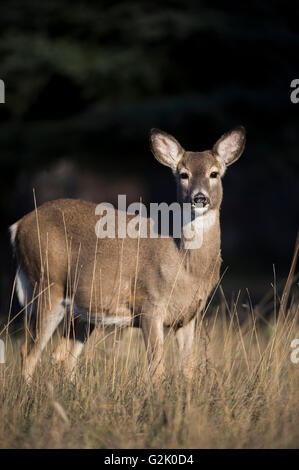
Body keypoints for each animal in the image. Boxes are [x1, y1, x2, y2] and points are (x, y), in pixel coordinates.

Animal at [10, 126, 247, 384]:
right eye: (183, 174)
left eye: (214, 173)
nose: (200, 198)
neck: (185, 267)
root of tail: (18, 226)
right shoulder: (149, 304)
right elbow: (156, 368)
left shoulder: (189, 316)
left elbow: (188, 369)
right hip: (46, 283)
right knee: (29, 350)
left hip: (80, 308)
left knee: (61, 354)